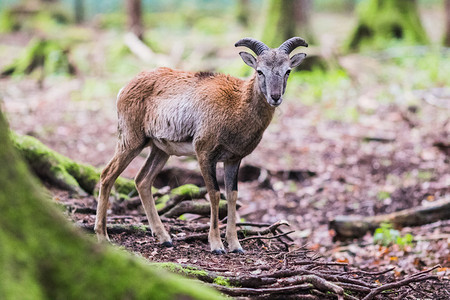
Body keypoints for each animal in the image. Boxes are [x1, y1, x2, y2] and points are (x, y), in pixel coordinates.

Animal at [94, 36, 306, 254]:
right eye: (260, 71)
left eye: (288, 71)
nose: (275, 97)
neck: (236, 105)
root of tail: (124, 89)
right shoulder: (205, 154)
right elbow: (214, 194)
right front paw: (216, 245)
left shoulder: (233, 160)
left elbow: (232, 195)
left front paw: (235, 245)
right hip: (131, 141)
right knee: (107, 174)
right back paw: (103, 236)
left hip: (160, 150)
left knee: (142, 181)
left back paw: (164, 238)